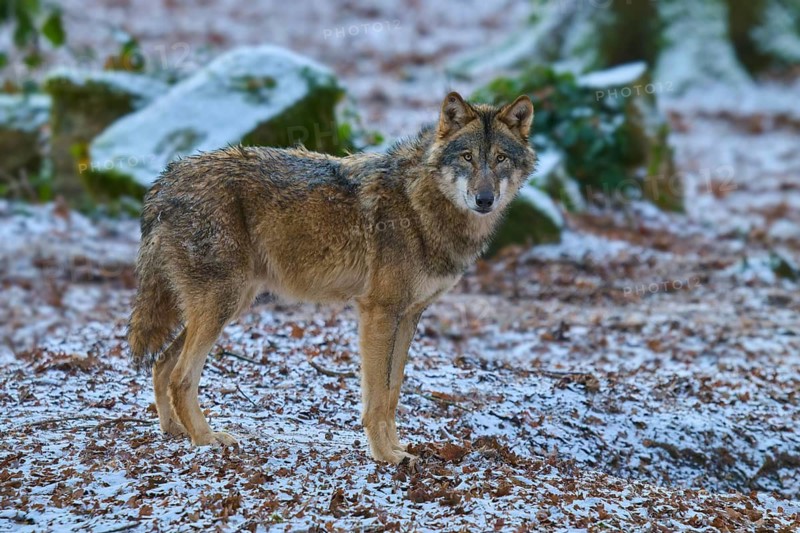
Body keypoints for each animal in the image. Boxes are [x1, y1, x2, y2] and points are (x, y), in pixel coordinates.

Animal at [127, 92, 535, 464]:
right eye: (467, 157)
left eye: (499, 158)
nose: (485, 199)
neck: (421, 205)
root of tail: (167, 179)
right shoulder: (378, 312)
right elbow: (376, 395)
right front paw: (384, 455)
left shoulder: (408, 316)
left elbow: (392, 391)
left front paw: (398, 448)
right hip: (222, 305)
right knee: (181, 376)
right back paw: (205, 438)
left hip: (228, 305)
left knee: (161, 364)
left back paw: (174, 430)